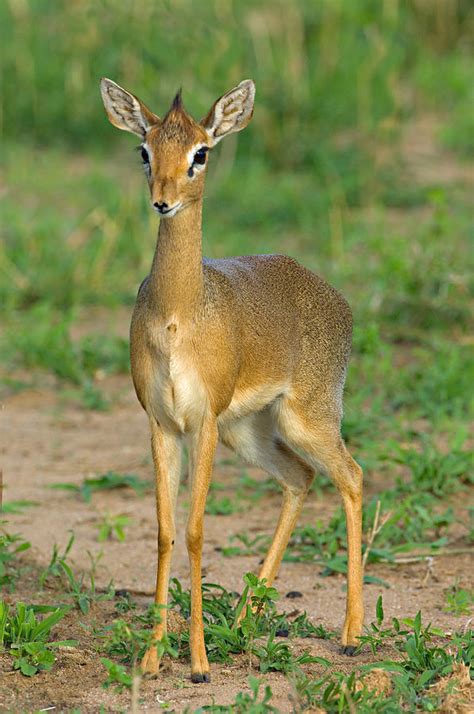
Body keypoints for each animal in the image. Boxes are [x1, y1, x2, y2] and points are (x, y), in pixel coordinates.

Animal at [100, 76, 364, 680]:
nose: (163, 199)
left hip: (305, 420)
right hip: (251, 432)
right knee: (300, 478)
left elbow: (198, 533)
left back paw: (351, 635)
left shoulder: (202, 423)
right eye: (144, 149)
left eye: (201, 152)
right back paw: (245, 620)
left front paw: (197, 662)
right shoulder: (161, 424)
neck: (179, 314)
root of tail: (333, 297)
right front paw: (153, 657)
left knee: (352, 477)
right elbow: (166, 532)